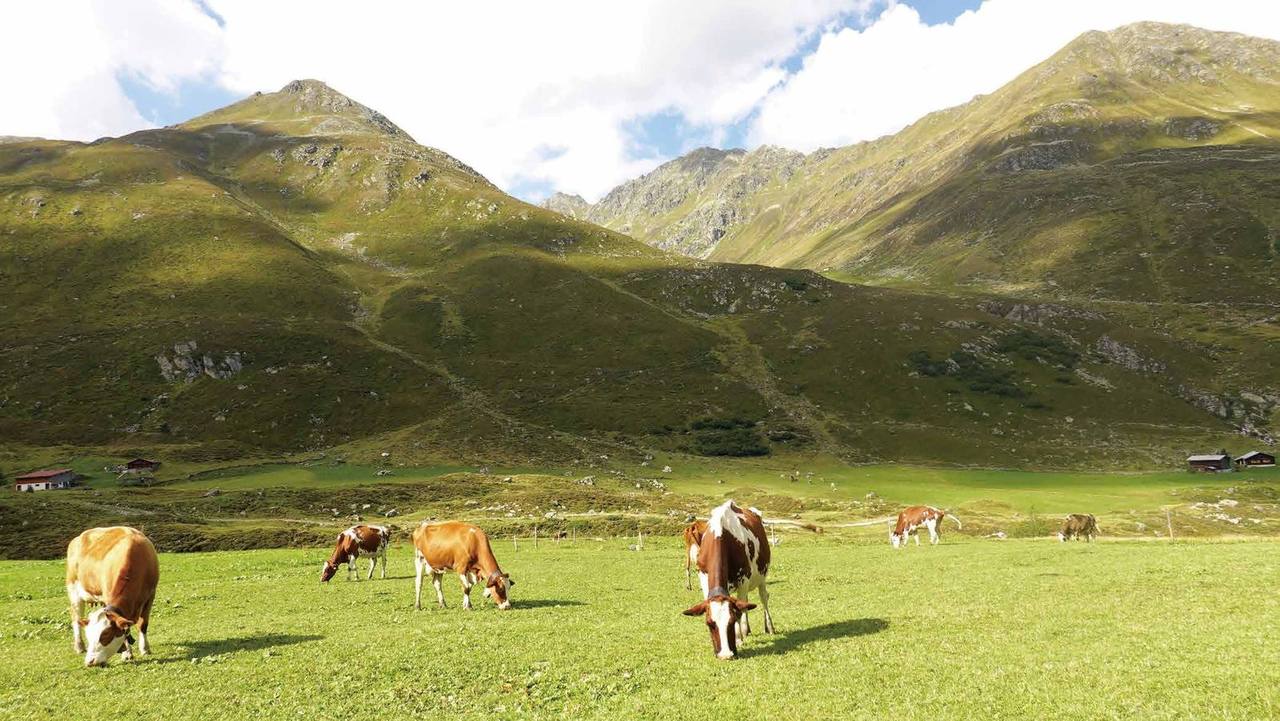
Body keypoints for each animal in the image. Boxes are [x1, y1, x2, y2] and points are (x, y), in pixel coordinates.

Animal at [66, 526, 160, 667]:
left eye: (105, 635)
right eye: (89, 636)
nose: (89, 662)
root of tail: (78, 538)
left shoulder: (150, 596)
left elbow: (143, 624)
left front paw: (145, 649)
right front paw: (127, 653)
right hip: (73, 591)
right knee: (76, 618)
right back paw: (79, 646)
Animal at [682, 501, 773, 660]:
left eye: (731, 621)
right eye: (709, 623)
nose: (725, 655)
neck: (721, 534)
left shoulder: (743, 579)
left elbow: (740, 611)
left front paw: (738, 639)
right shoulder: (704, 577)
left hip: (762, 575)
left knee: (763, 598)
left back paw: (769, 627)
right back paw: (747, 630)